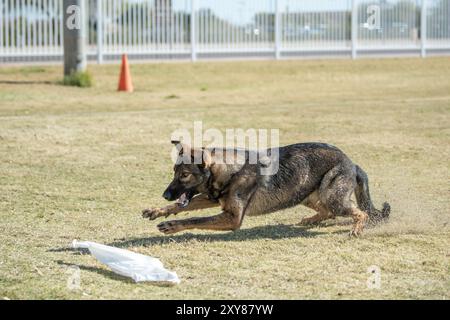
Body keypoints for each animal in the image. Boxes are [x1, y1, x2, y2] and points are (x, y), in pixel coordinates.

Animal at [142, 141, 388, 236]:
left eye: (184, 175)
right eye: (174, 172)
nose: (165, 194)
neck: (231, 170)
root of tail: (352, 162)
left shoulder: (231, 218)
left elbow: (195, 219)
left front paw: (172, 226)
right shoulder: (213, 198)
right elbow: (182, 206)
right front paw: (157, 211)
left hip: (332, 197)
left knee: (360, 212)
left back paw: (356, 229)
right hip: (303, 194)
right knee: (326, 211)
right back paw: (310, 220)